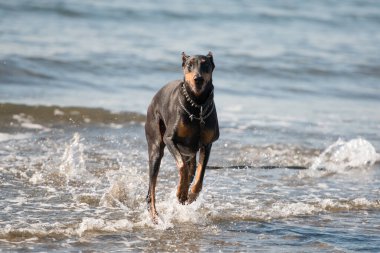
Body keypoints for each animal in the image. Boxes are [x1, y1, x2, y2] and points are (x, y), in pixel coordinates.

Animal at [145, 52, 218, 223]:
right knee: (152, 186)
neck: (197, 105)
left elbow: (200, 175)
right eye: (189, 65)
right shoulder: (170, 139)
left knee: (191, 170)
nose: (198, 79)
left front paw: (190, 196)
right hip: (156, 147)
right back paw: (155, 215)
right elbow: (182, 167)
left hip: (189, 154)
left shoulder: (207, 144)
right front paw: (180, 193)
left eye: (205, 64)